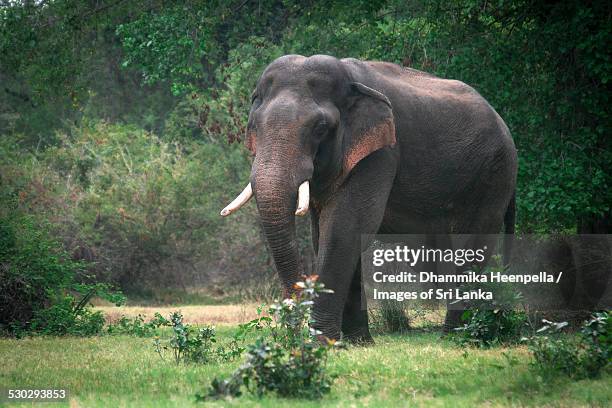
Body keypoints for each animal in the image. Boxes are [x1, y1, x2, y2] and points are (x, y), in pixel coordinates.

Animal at [220, 53, 516, 342]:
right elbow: (326, 233)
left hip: (492, 177)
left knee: (471, 247)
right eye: (254, 126)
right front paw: (356, 343)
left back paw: (454, 337)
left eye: (320, 128)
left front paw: (322, 343)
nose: (292, 334)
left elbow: (345, 225)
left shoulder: (381, 153)